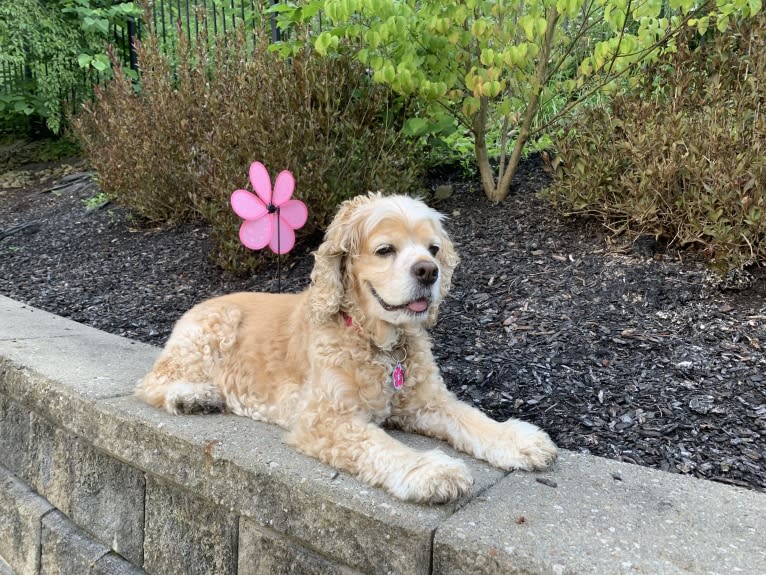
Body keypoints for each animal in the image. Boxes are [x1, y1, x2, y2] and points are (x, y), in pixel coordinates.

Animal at [136, 195, 560, 504]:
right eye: (385, 249)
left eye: (434, 248)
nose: (428, 271)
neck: (381, 345)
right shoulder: (326, 418)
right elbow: (381, 445)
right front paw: (429, 470)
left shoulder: (426, 401)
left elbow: (472, 418)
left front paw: (517, 440)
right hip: (211, 331)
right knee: (151, 383)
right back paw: (194, 397)